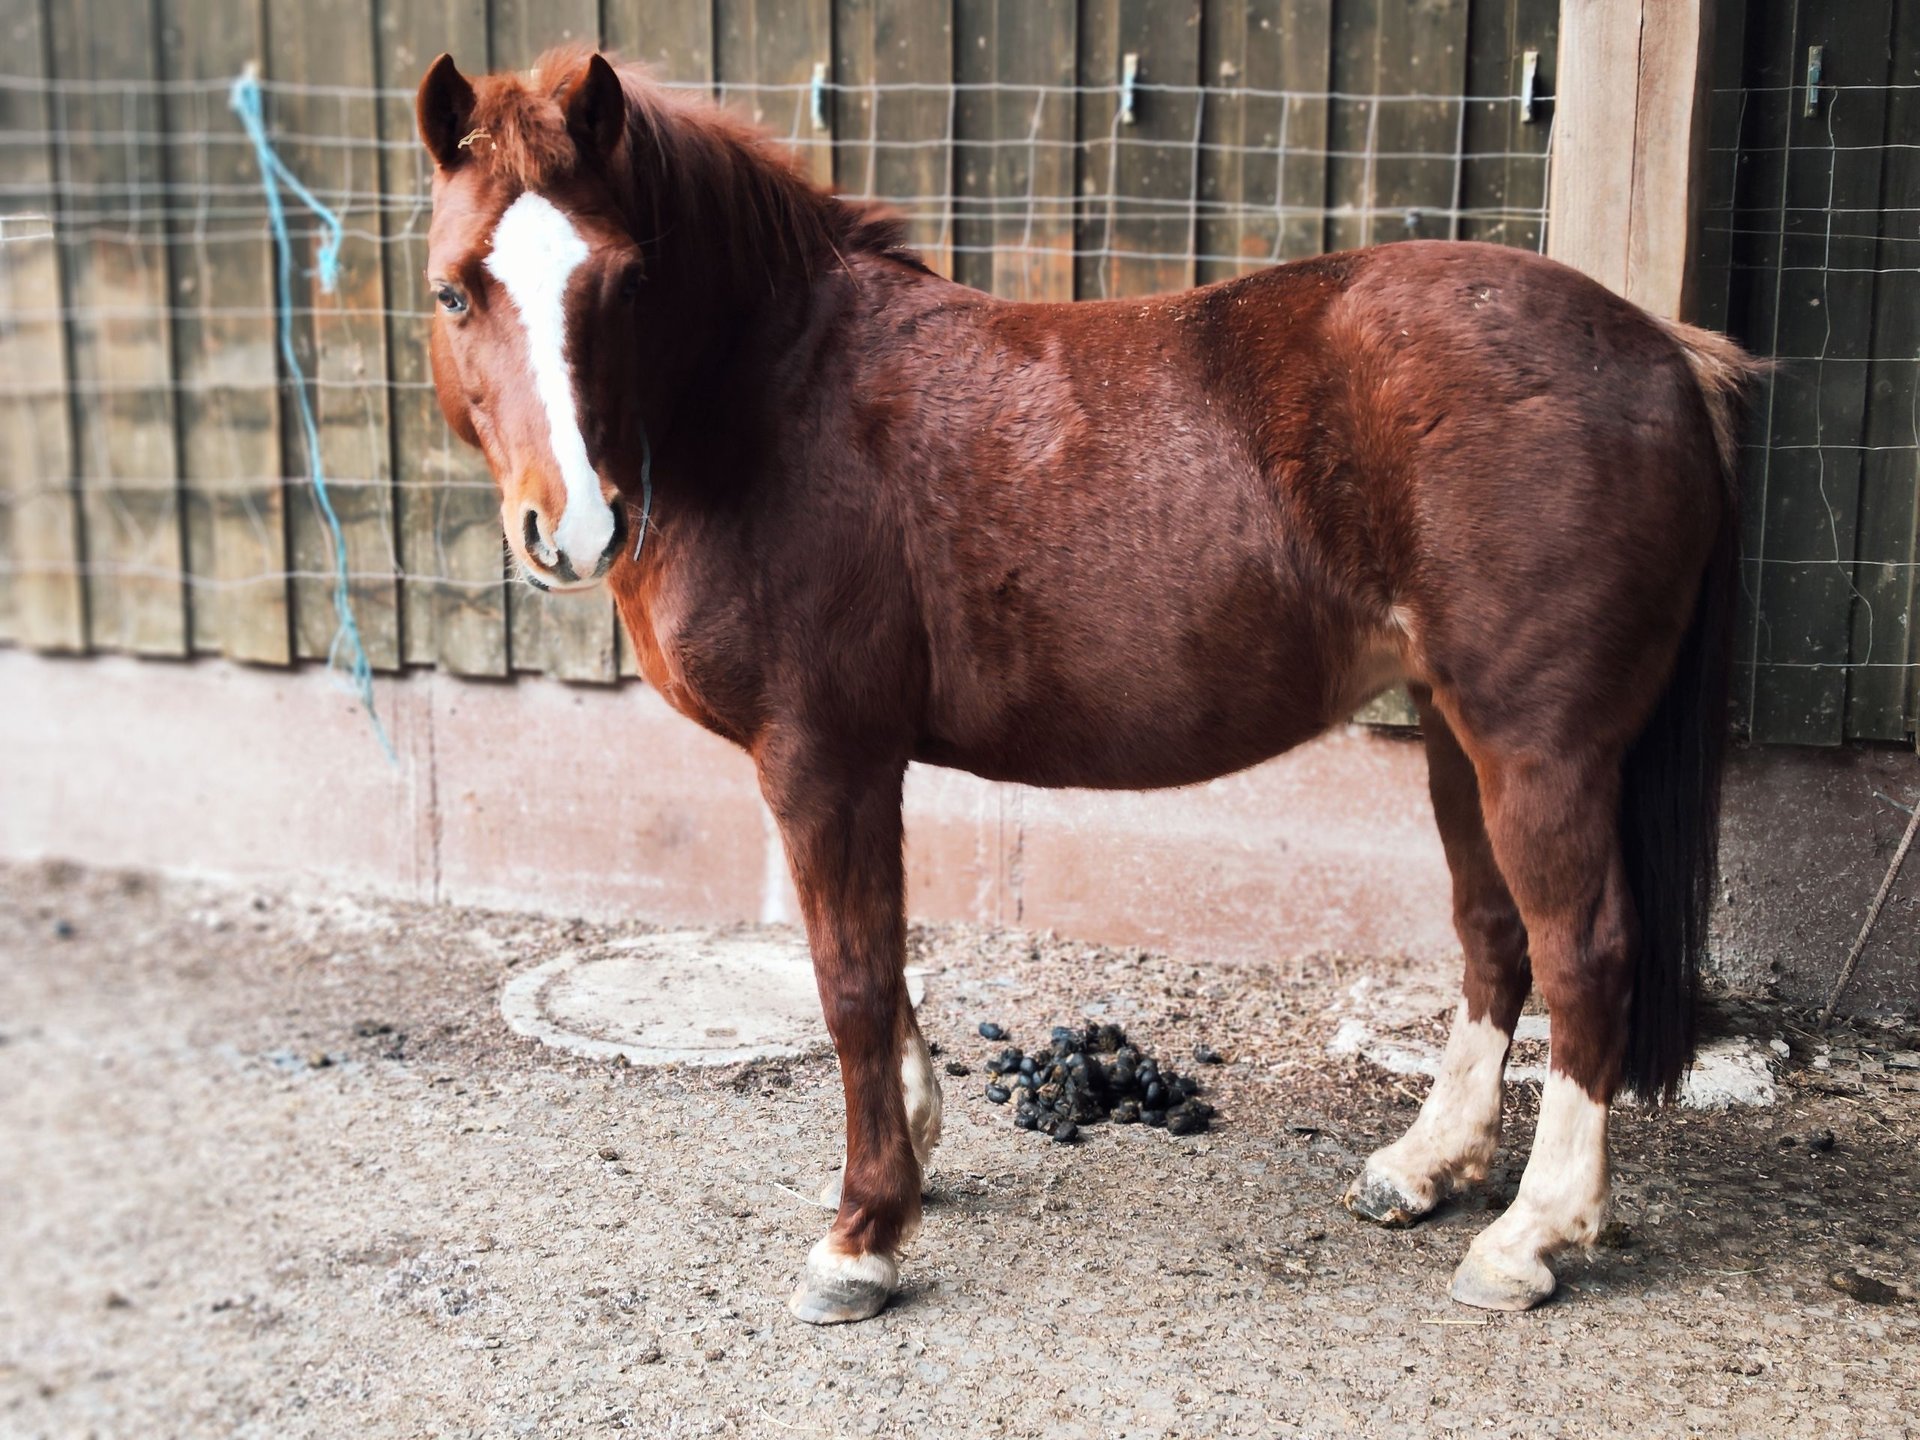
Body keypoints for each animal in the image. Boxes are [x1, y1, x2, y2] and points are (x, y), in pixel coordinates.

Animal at [416, 48, 1758, 1328]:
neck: (775, 400)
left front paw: (863, 1233)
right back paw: (1424, 1168)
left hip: (1539, 745)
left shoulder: (822, 757)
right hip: (1452, 728)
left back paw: (1529, 1237)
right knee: (1494, 937)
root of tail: (1664, 355)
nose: (570, 529)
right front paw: (911, 1152)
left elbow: (850, 979)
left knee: (1584, 954)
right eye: (454, 289)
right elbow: (882, 967)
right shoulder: (853, 766)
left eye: (626, 279)